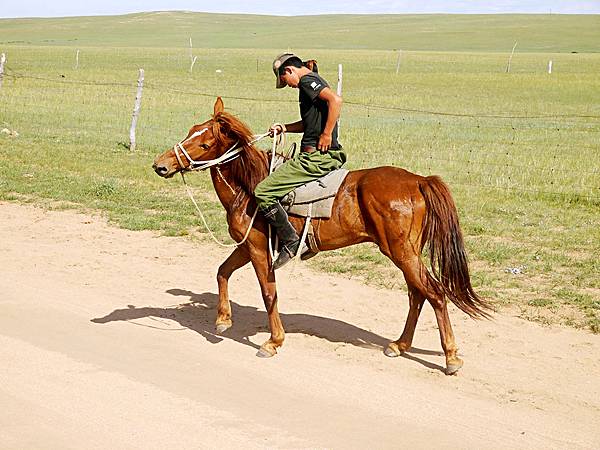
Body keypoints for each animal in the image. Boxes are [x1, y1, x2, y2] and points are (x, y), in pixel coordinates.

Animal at [152, 96, 490, 374]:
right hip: (405, 253)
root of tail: (418, 180)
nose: (161, 166)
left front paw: (273, 342)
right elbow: (222, 272)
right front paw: (223, 319)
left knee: (435, 293)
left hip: (402, 252)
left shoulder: (258, 247)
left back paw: (451, 357)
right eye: (190, 131)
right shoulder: (246, 246)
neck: (249, 188)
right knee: (417, 294)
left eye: (204, 143)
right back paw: (399, 345)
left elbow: (269, 293)